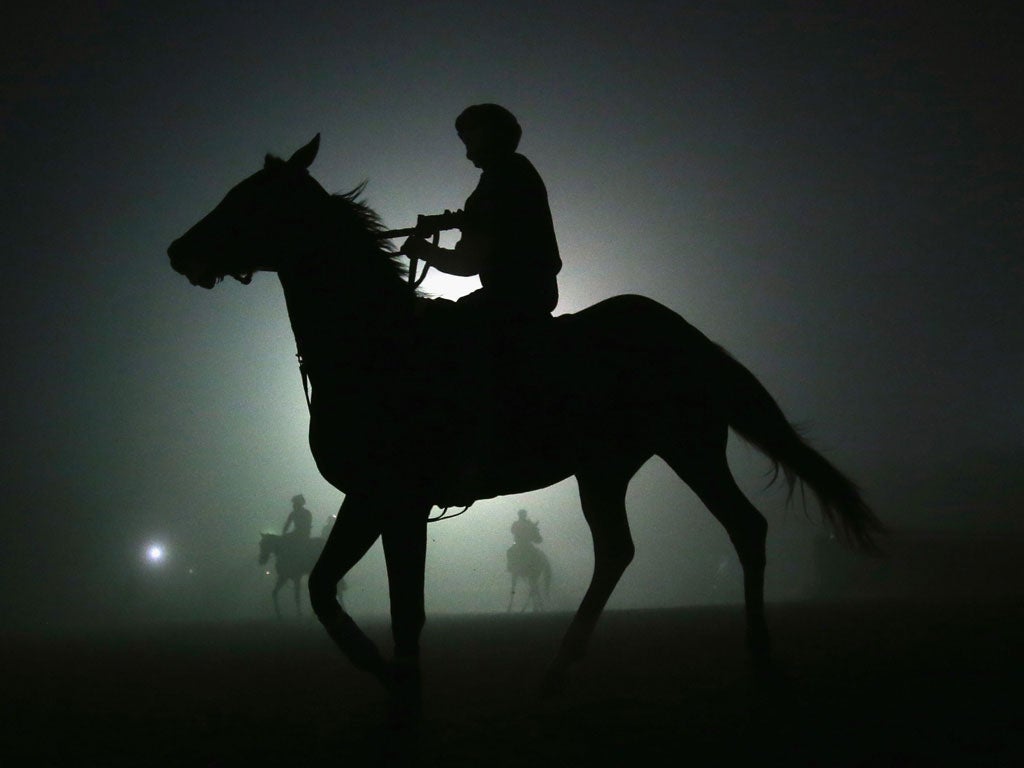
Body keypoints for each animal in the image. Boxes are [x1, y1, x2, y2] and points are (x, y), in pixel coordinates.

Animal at [165, 137, 880, 708]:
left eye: (246, 199)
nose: (177, 250)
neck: (375, 345)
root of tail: (683, 331)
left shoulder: (397, 500)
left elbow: (402, 609)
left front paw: (401, 687)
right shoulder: (369, 499)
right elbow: (323, 588)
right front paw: (392, 680)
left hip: (689, 448)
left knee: (743, 529)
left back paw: (758, 658)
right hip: (608, 467)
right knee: (622, 550)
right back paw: (560, 670)